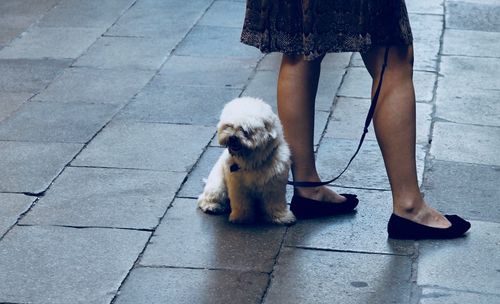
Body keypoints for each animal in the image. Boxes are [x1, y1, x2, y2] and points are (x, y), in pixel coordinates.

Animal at [196, 97, 296, 226]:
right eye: (229, 126)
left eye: (245, 130)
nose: (232, 137)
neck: (252, 162)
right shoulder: (238, 186)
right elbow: (241, 202)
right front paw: (241, 217)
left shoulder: (274, 185)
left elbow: (275, 203)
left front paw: (281, 217)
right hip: (217, 187)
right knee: (203, 198)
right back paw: (212, 206)